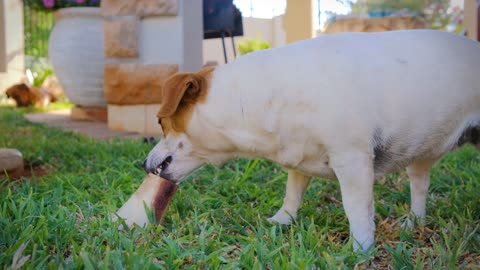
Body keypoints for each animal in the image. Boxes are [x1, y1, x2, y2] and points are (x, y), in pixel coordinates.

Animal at [137, 30, 478, 251]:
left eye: (160, 122)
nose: (143, 163)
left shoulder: (352, 159)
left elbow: (356, 208)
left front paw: (361, 248)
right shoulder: (297, 156)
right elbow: (293, 193)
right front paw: (281, 220)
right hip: (421, 156)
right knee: (419, 185)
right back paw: (414, 222)